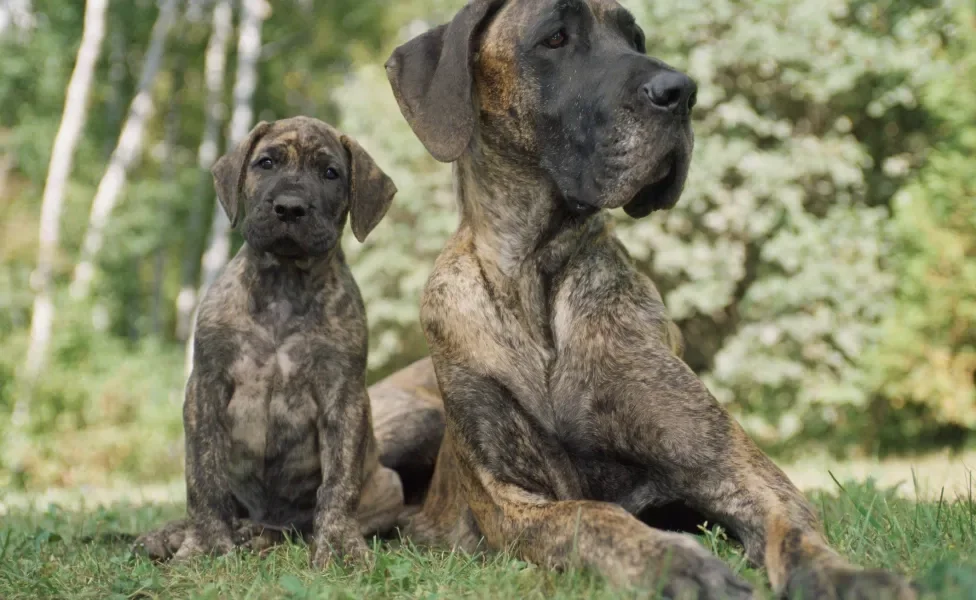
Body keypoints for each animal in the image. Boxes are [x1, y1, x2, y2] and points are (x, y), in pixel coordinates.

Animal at [132, 116, 408, 568]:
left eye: (330, 173)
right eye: (266, 163)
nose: (290, 207)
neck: (284, 283)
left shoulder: (345, 395)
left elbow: (340, 482)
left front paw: (339, 546)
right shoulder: (206, 387)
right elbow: (204, 478)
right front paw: (205, 544)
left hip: (388, 483)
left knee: (295, 527)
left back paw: (259, 534)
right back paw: (176, 533)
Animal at [384, 2, 924, 596]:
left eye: (635, 38)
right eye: (555, 38)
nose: (682, 90)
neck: (538, 278)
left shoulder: (733, 468)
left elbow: (794, 531)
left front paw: (845, 577)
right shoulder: (508, 499)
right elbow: (590, 516)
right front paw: (677, 563)